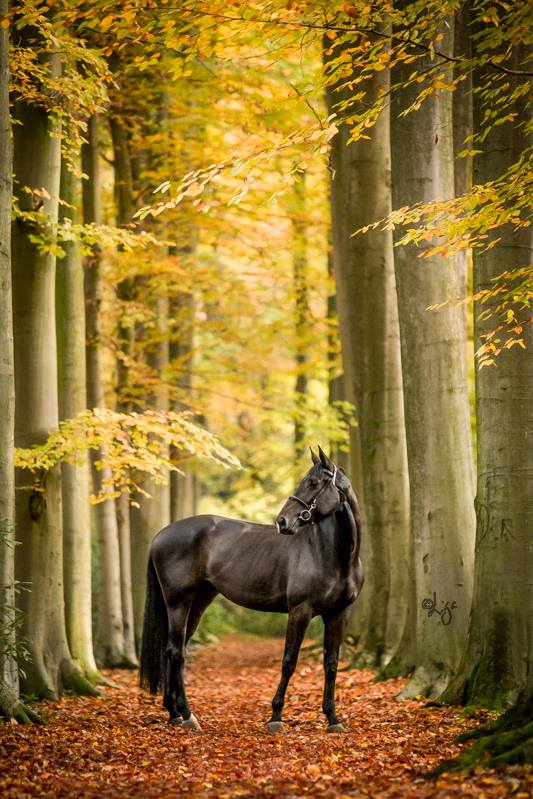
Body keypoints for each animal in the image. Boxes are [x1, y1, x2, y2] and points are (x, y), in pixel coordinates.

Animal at [138, 446, 362, 736]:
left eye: (313, 483)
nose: (282, 521)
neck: (334, 556)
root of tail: (160, 535)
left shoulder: (337, 614)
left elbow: (331, 664)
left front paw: (333, 718)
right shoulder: (300, 611)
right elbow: (289, 661)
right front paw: (276, 717)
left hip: (198, 603)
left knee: (171, 650)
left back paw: (174, 712)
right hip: (178, 602)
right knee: (177, 653)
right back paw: (187, 715)